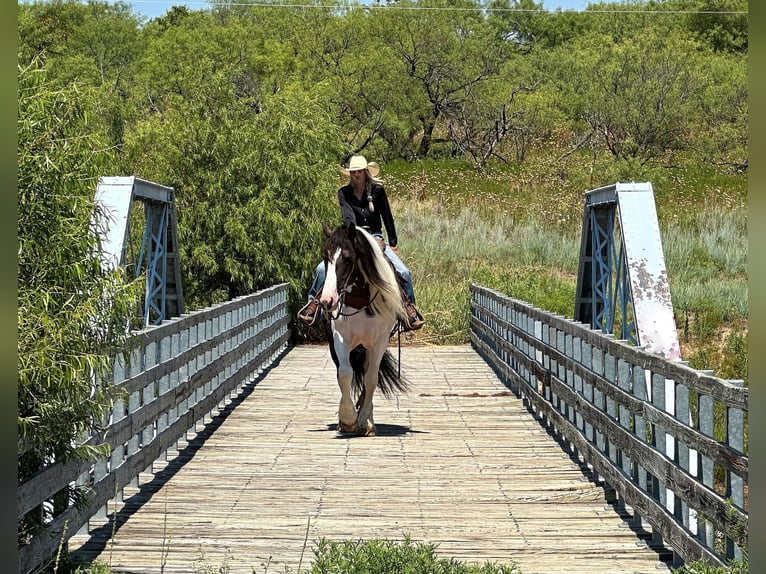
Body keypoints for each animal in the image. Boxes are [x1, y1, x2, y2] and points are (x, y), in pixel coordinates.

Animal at [320, 220, 414, 436]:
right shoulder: (339, 338)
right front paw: (347, 419)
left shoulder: (379, 341)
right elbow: (345, 374)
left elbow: (371, 379)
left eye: (347, 258)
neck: (361, 299)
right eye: (325, 258)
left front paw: (365, 420)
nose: (328, 301)